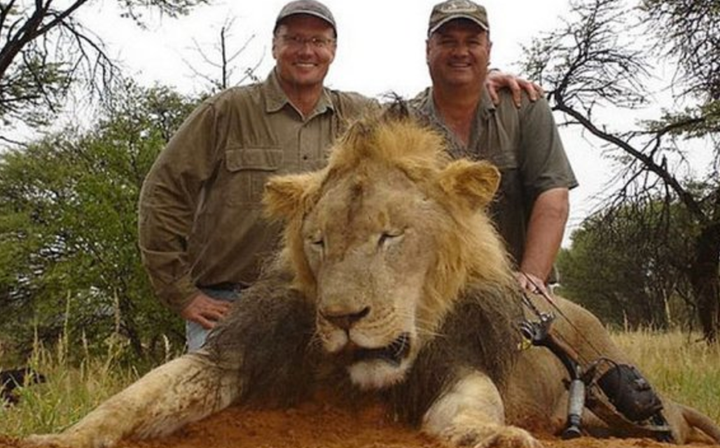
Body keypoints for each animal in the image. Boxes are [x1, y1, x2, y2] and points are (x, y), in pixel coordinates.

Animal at [28, 106, 720, 448]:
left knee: (669, 419)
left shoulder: (458, 358)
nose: (341, 318)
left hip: (624, 386)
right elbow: (139, 396)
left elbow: (476, 402)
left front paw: (491, 435)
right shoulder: (243, 353)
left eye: (391, 237)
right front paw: (62, 436)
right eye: (319, 241)